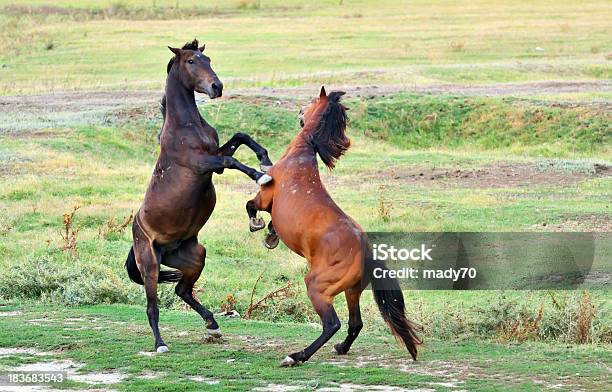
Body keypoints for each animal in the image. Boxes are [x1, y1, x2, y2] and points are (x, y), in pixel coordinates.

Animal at [124, 39, 272, 352]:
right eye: (191, 61)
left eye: (208, 59)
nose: (217, 86)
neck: (186, 127)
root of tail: (137, 237)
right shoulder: (202, 164)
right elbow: (232, 160)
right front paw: (261, 175)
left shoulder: (214, 159)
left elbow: (240, 137)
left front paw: (265, 160)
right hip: (150, 265)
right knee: (152, 306)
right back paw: (160, 344)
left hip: (194, 257)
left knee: (182, 289)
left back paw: (213, 325)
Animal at [247, 87, 420, 366]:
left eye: (310, 101)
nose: (299, 112)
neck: (303, 153)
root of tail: (367, 251)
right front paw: (271, 235)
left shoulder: (265, 196)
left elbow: (251, 205)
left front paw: (258, 225)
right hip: (351, 291)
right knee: (355, 324)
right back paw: (340, 348)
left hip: (317, 287)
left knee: (332, 324)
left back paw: (297, 356)